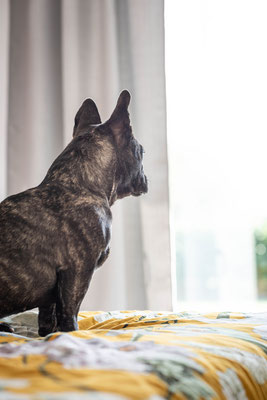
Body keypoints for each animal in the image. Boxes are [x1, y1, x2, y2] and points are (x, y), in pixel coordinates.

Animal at [0, 90, 149, 334]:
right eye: (142, 152)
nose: (146, 178)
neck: (78, 183)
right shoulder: (78, 271)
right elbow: (69, 313)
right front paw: (72, 334)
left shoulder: (51, 294)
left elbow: (47, 317)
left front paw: (47, 336)